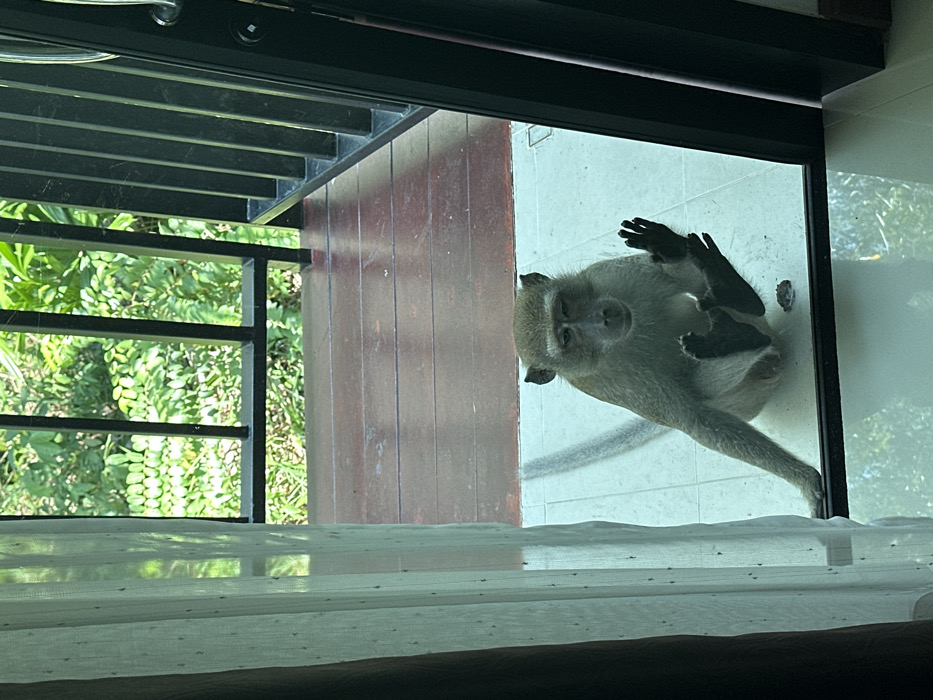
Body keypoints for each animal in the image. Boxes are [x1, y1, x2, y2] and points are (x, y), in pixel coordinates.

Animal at [513, 217, 825, 518]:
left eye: (564, 307)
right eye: (566, 337)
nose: (603, 317)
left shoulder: (605, 276)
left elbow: (662, 273)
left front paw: (669, 247)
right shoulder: (614, 383)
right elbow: (695, 418)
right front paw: (804, 479)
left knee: (703, 294)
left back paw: (728, 287)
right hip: (749, 396)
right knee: (705, 385)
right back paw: (733, 337)